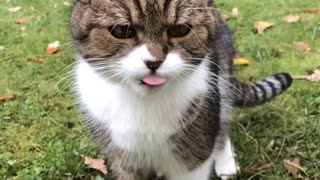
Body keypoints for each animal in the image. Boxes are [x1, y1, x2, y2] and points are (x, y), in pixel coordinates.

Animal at [70, 0, 292, 179]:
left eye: (180, 29)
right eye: (122, 30)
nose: (153, 62)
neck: (145, 105)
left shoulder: (195, 156)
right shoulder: (123, 158)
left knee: (224, 119)